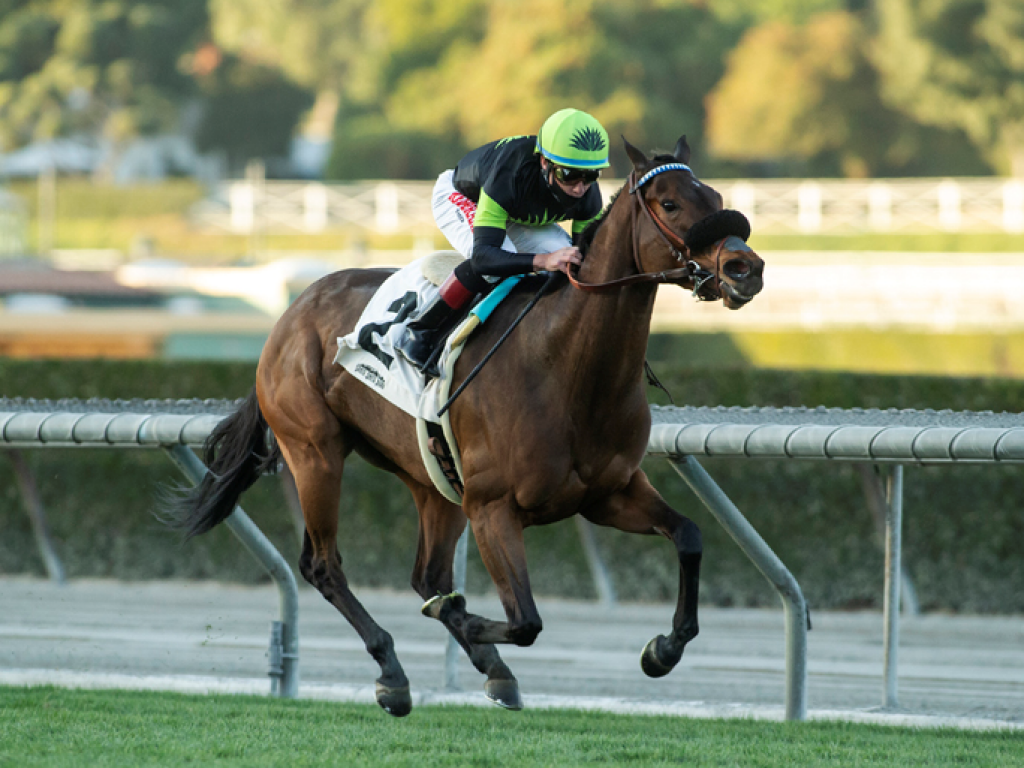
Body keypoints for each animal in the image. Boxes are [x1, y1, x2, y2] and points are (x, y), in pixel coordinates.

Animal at [163, 135, 765, 720]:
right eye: (670, 204)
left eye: (716, 197)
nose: (747, 268)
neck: (567, 366)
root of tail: (291, 312)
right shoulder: (494, 507)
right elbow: (524, 619)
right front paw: (471, 625)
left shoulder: (609, 493)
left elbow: (689, 535)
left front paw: (663, 650)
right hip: (314, 452)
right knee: (324, 565)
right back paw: (393, 674)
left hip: (431, 477)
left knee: (427, 574)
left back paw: (487, 667)